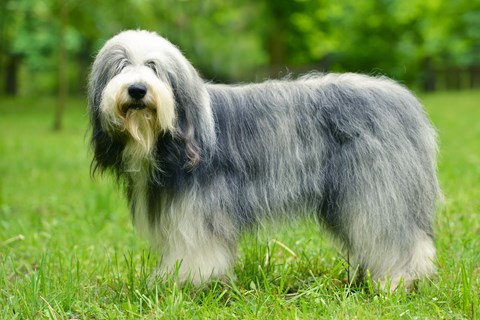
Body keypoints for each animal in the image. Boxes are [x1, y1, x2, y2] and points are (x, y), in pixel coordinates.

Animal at [88, 30, 440, 290]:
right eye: (120, 66)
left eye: (153, 66)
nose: (137, 90)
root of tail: (403, 100)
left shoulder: (199, 210)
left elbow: (197, 249)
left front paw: (191, 285)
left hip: (376, 190)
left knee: (395, 237)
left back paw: (397, 282)